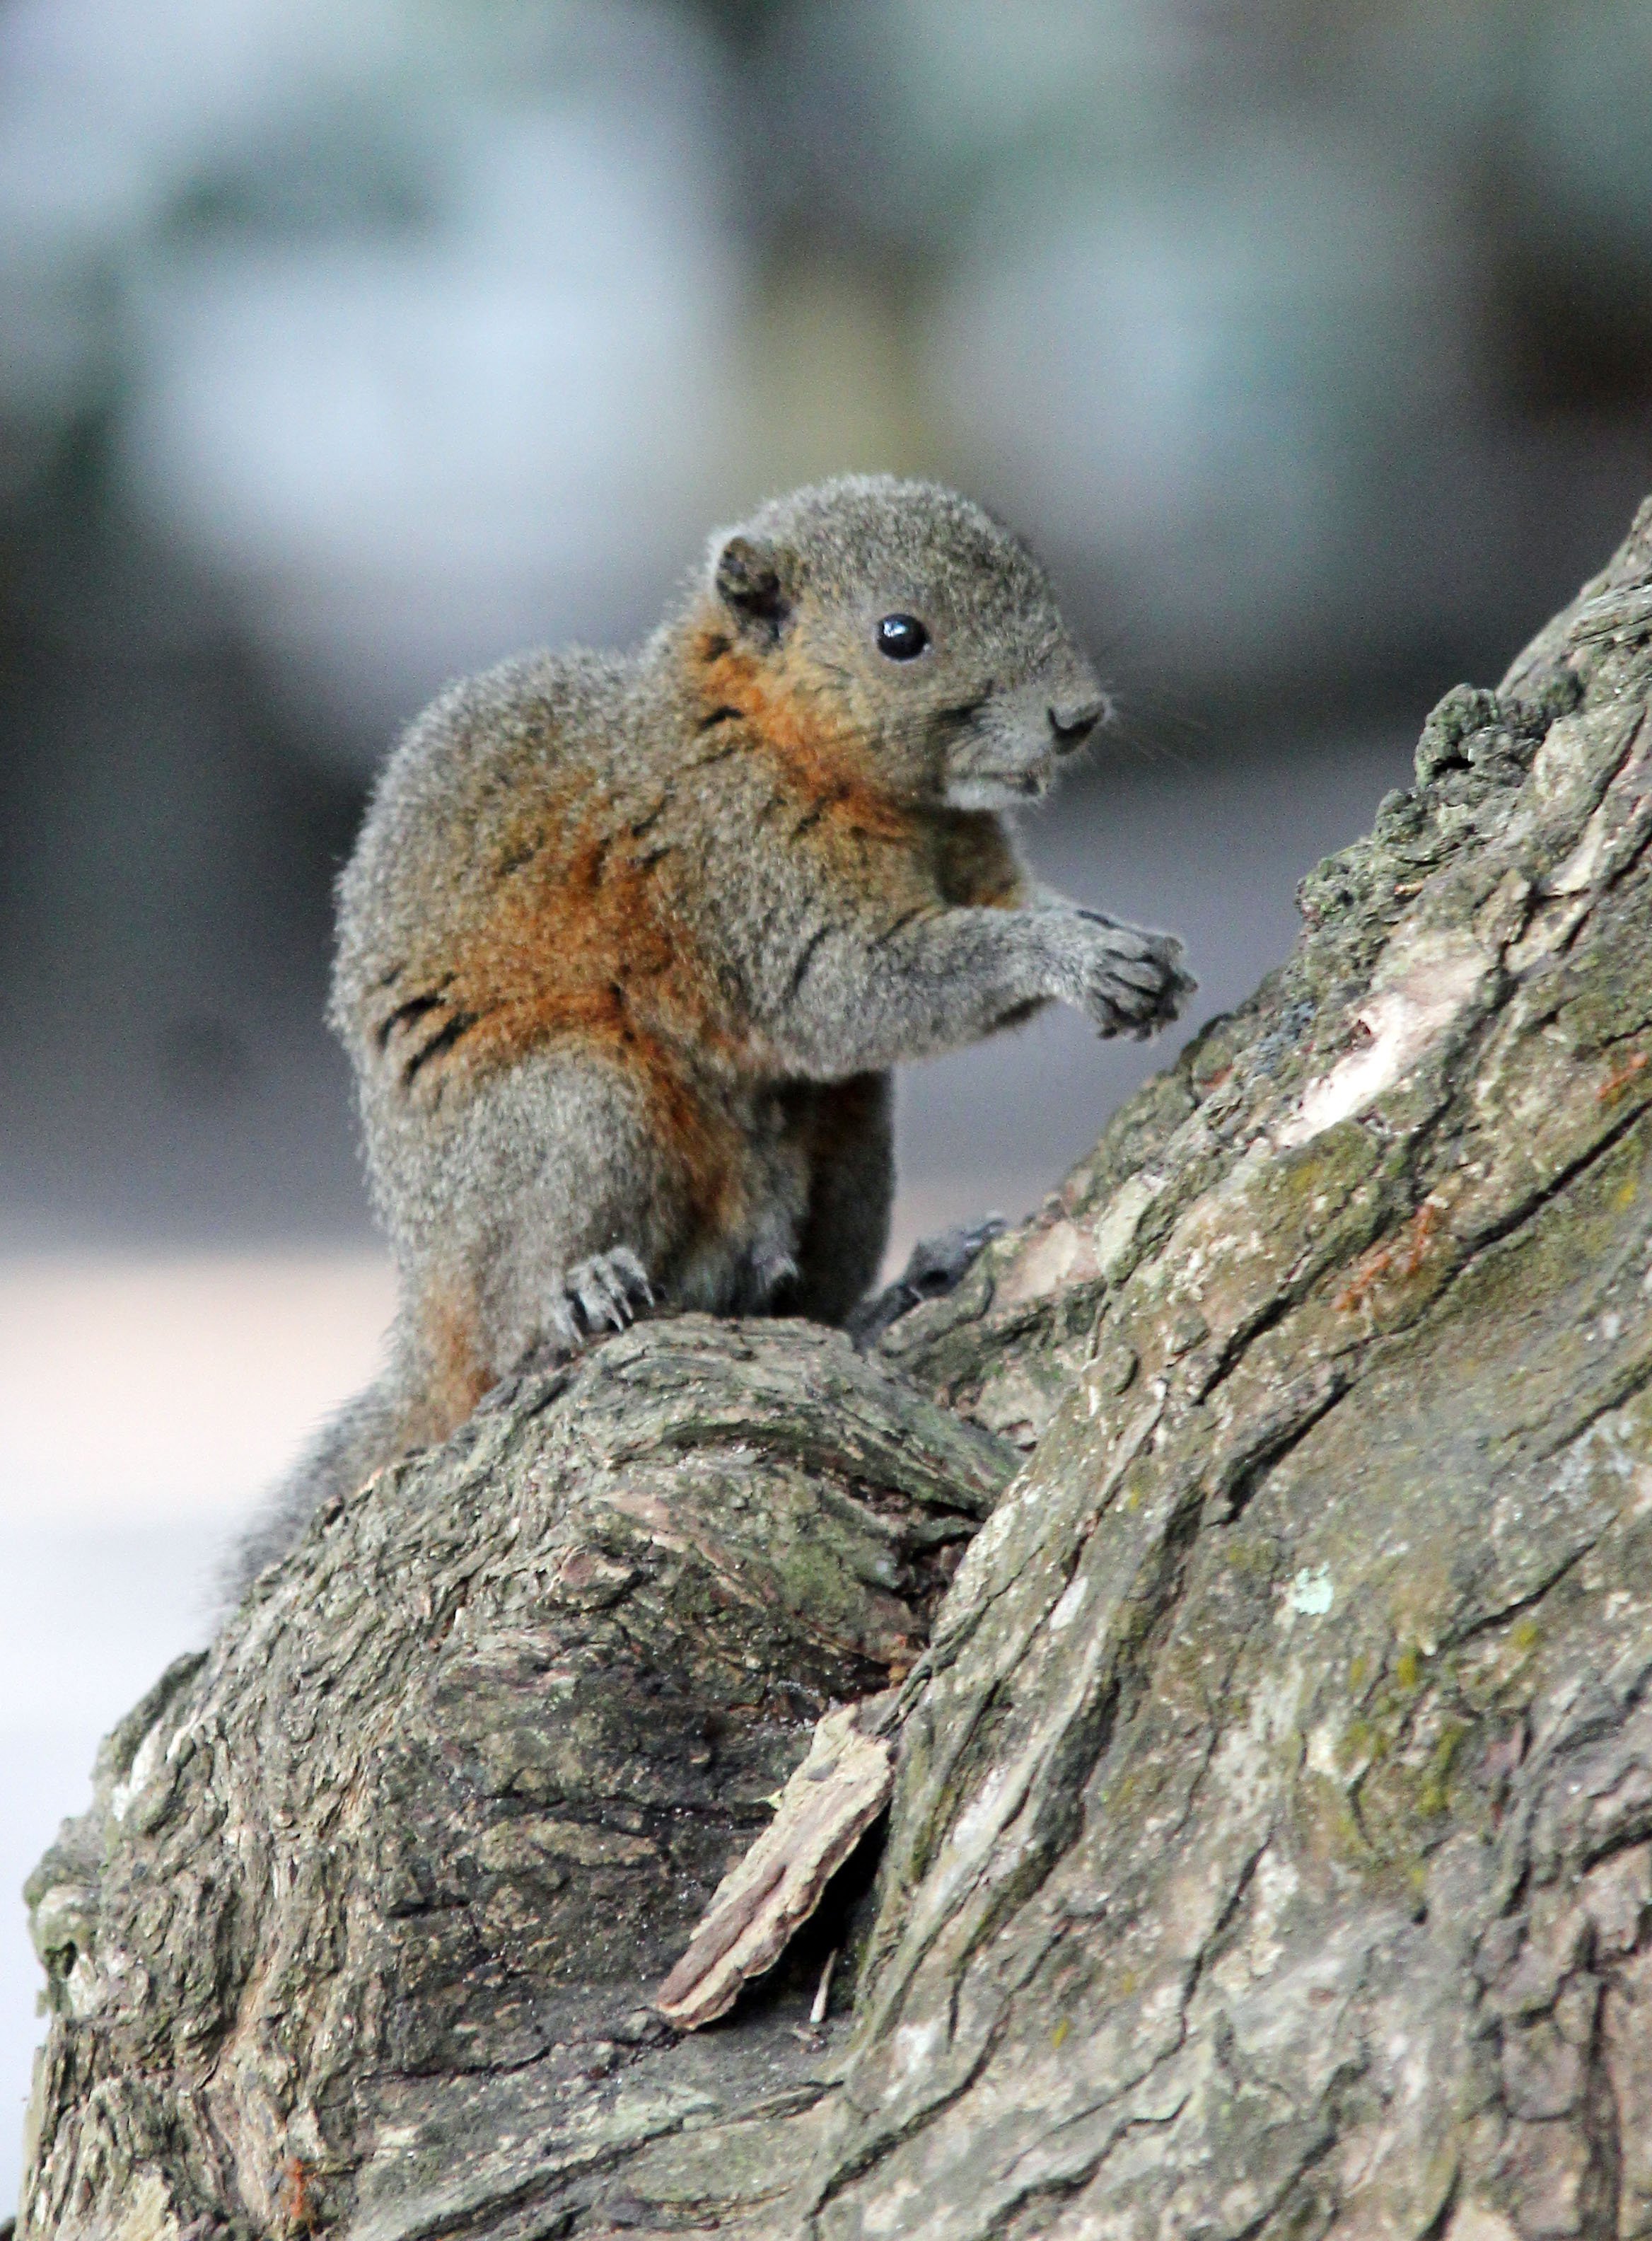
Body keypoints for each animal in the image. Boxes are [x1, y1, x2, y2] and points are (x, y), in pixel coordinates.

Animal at [229, 476, 1193, 1593]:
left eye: (1032, 569)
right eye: (899, 636)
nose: (1077, 717)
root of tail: (426, 1318)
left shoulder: (973, 860)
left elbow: (1012, 908)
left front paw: (1124, 941)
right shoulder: (737, 874)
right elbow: (849, 993)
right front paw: (1069, 957)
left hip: (851, 1154)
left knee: (802, 1299)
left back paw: (899, 1290)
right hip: (568, 1110)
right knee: (516, 1325)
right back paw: (576, 1291)